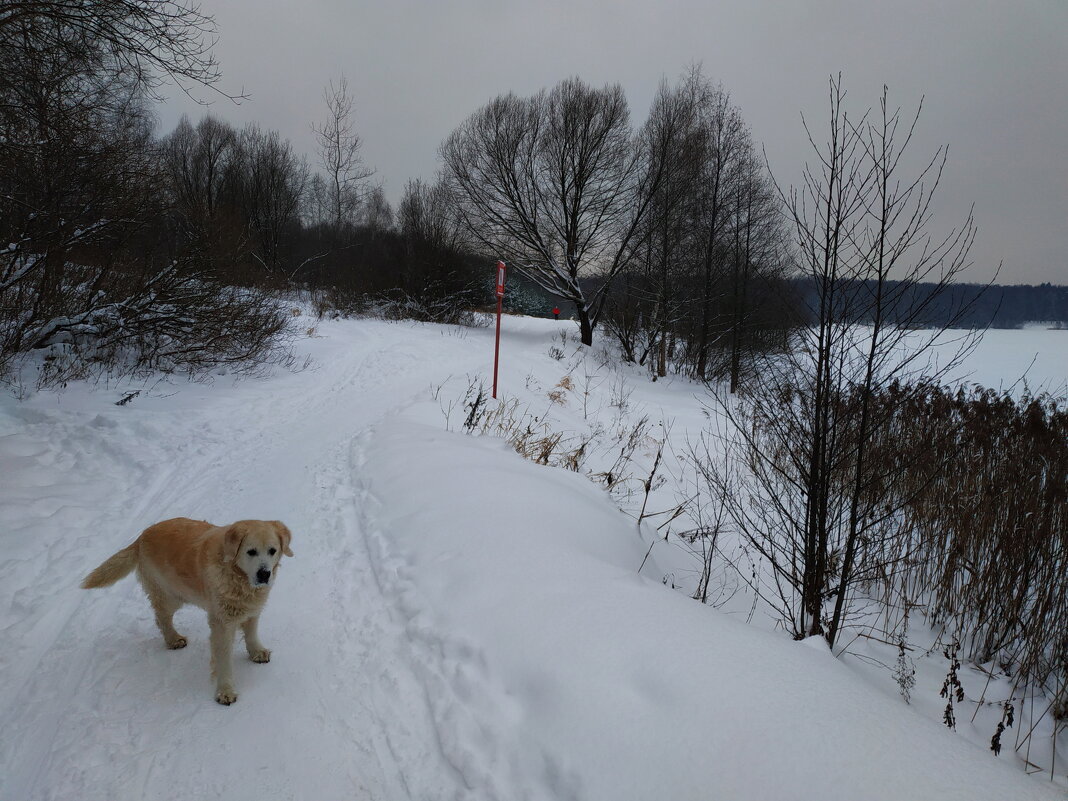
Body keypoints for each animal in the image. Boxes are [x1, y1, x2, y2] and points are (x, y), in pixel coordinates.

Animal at [81, 521, 294, 700]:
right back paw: (173, 639)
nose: (264, 574)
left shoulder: (252, 607)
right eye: (251, 552)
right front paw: (225, 691)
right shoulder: (221, 622)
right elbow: (224, 659)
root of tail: (141, 537)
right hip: (170, 595)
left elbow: (251, 632)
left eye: (272, 551)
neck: (236, 575)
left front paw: (256, 651)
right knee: (161, 617)